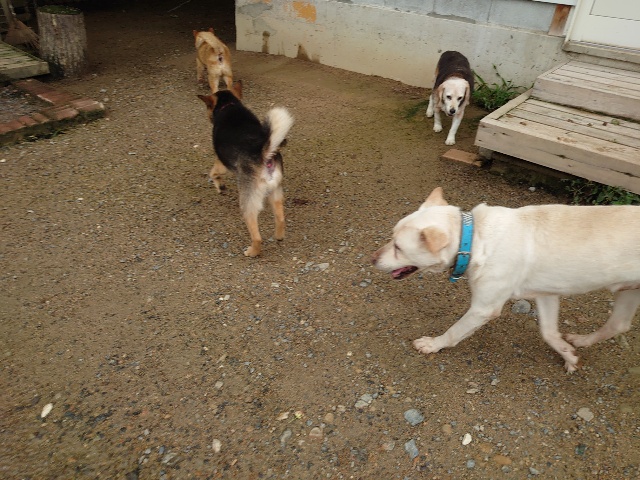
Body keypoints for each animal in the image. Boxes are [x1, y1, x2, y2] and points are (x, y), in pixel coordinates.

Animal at [198, 81, 294, 257]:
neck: (229, 105)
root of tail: (264, 153)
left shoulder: (222, 163)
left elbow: (214, 172)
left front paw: (219, 185)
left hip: (248, 202)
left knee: (257, 236)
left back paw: (252, 251)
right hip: (275, 193)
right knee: (281, 219)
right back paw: (279, 236)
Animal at [372, 187, 640, 372]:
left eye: (398, 247)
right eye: (392, 237)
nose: (372, 259)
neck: (474, 238)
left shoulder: (484, 308)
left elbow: (454, 331)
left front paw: (433, 344)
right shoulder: (546, 293)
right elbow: (548, 332)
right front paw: (568, 354)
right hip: (629, 290)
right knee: (618, 325)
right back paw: (582, 340)